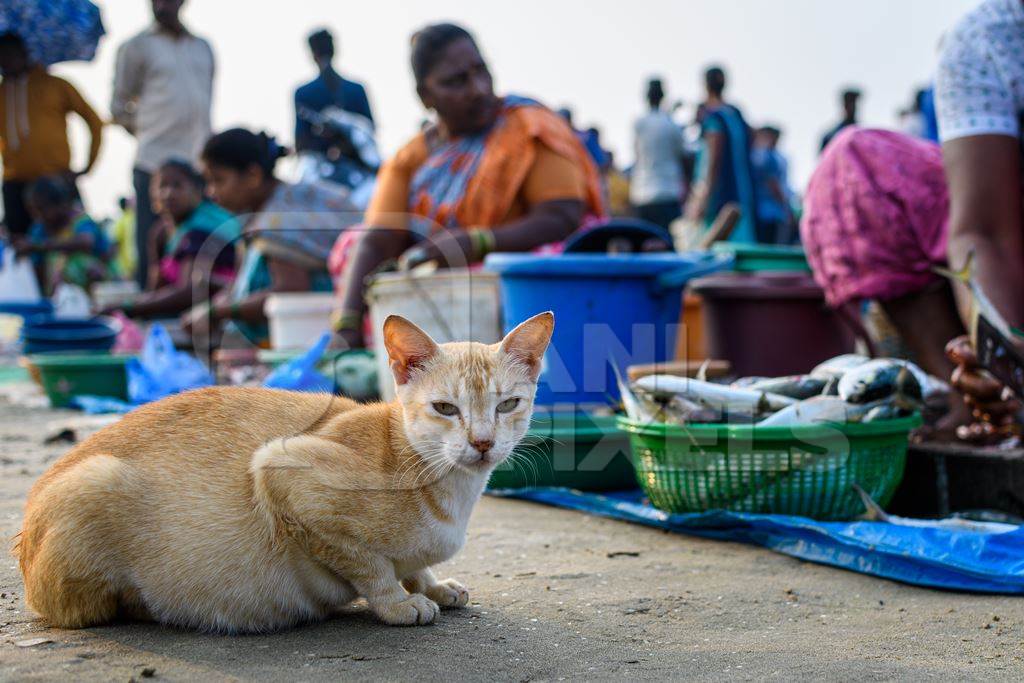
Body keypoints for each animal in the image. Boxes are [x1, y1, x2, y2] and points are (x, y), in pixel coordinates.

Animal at [14, 313, 552, 634]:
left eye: (507, 405)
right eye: (445, 408)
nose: (482, 442)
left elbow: (415, 565)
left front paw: (432, 584)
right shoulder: (279, 468)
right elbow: (371, 566)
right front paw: (399, 602)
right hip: (96, 482)